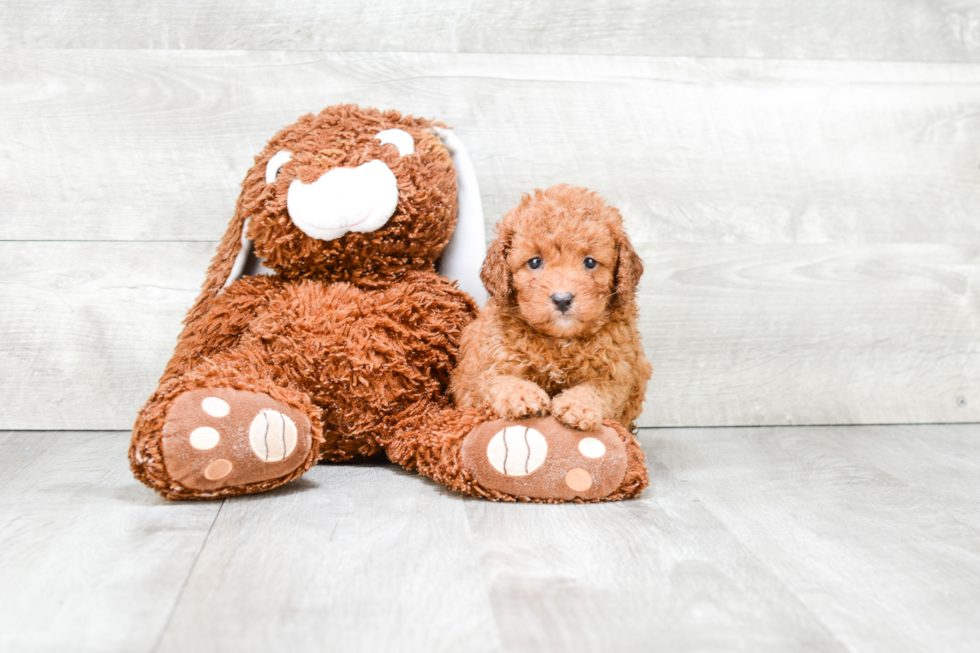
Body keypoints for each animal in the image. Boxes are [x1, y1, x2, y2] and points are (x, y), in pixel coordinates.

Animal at [450, 182, 652, 432]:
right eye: (535, 262)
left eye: (590, 262)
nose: (562, 299)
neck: (559, 342)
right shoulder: (478, 371)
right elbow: (495, 380)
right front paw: (523, 396)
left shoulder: (619, 372)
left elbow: (598, 389)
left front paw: (577, 406)